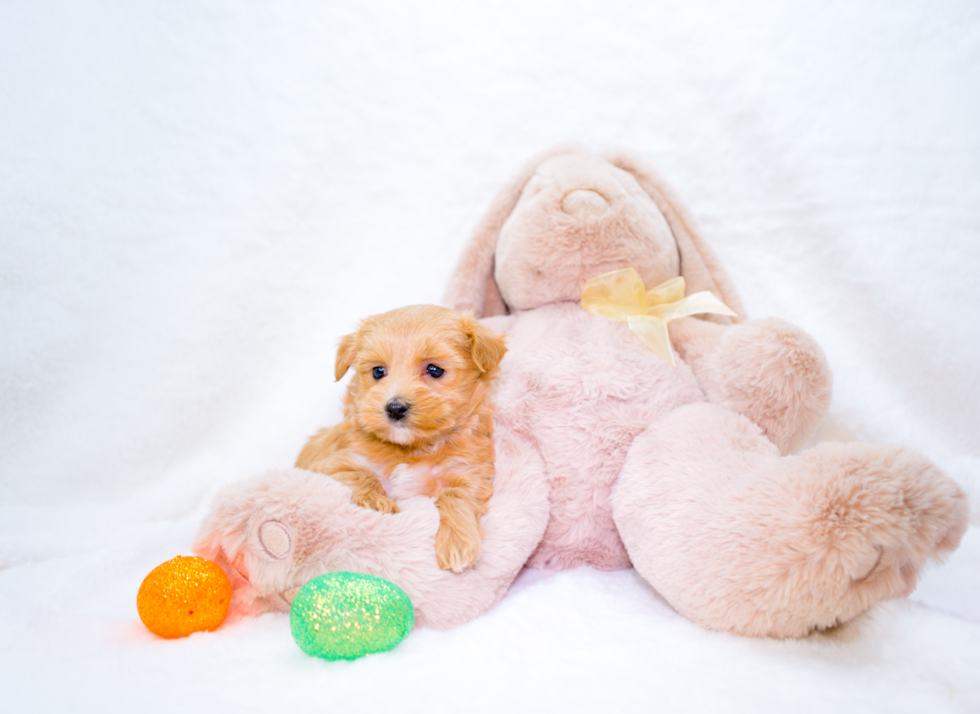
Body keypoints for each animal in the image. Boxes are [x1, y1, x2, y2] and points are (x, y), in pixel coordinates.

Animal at [296, 304, 510, 572]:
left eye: (434, 370)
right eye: (378, 371)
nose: (395, 407)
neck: (411, 448)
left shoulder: (470, 473)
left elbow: (454, 495)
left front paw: (456, 542)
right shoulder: (329, 465)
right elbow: (360, 475)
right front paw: (375, 502)